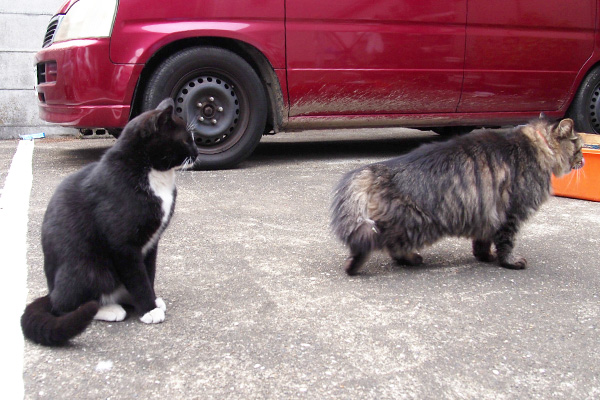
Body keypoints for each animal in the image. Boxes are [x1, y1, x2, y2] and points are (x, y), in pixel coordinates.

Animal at [21, 98, 197, 346]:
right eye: (185, 139)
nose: (197, 152)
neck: (153, 176)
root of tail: (50, 290)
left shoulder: (151, 243)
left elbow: (148, 273)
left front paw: (151, 301)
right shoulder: (123, 245)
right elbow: (137, 277)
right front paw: (149, 309)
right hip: (90, 268)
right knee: (65, 305)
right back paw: (108, 309)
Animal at [330, 117, 584, 276]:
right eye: (579, 147)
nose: (581, 161)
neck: (535, 144)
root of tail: (375, 169)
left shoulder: (488, 212)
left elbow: (483, 242)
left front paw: (485, 257)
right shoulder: (512, 213)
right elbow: (506, 243)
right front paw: (509, 262)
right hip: (416, 224)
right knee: (378, 242)